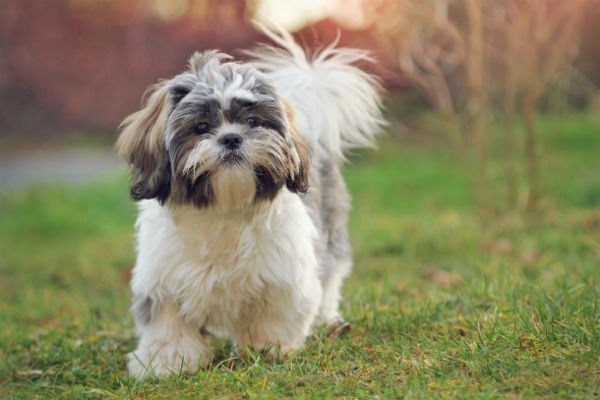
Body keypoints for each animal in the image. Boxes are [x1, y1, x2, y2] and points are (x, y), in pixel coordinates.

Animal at [117, 25, 384, 378]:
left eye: (254, 122)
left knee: (330, 280)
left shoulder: (285, 276)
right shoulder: (161, 280)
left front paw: (268, 349)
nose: (231, 138)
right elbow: (168, 324)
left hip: (331, 234)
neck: (224, 210)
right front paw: (166, 362)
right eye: (201, 127)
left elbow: (273, 316)